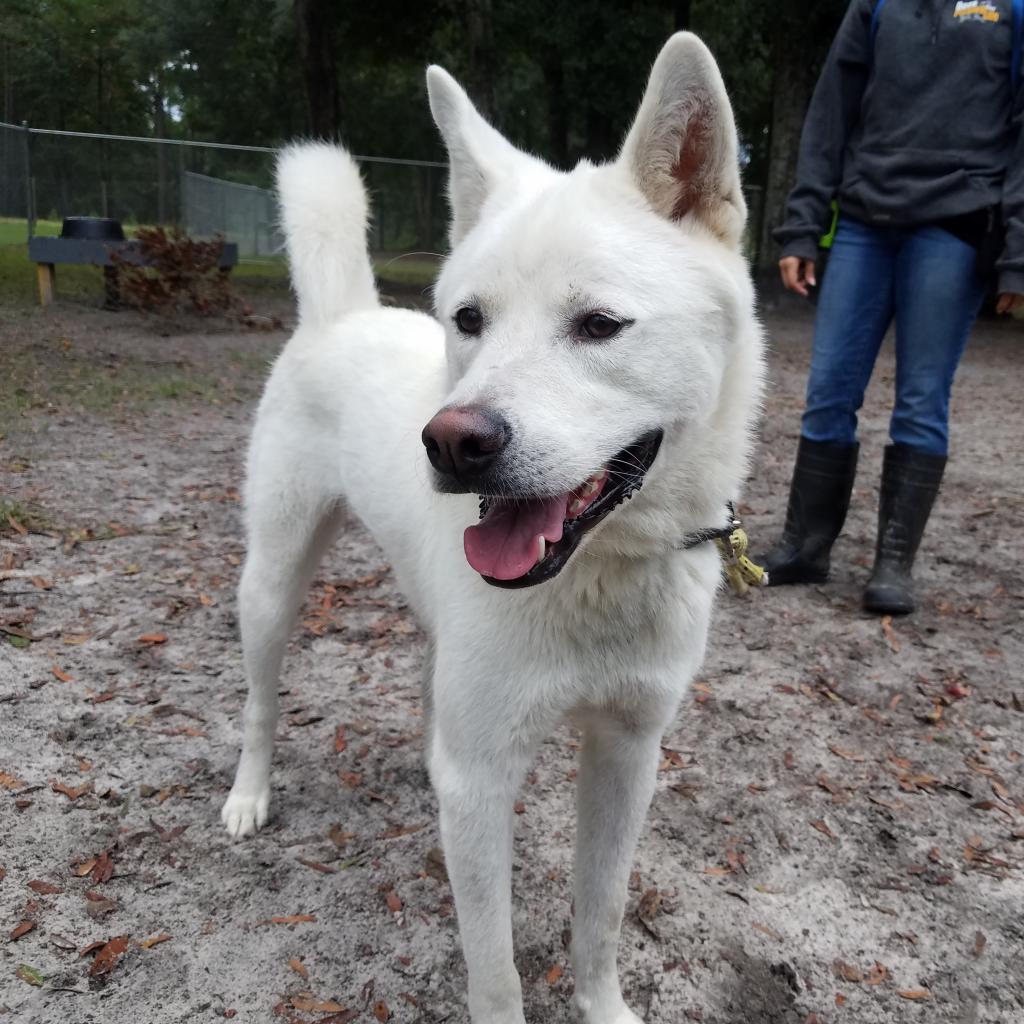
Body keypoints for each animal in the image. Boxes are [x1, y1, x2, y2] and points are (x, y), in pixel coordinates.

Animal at [228, 32, 765, 1024]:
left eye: (600, 324)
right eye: (469, 319)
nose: (451, 442)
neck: (599, 574)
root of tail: (341, 314)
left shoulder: (628, 752)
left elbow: (602, 910)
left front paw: (603, 1006)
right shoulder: (485, 786)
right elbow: (496, 967)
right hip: (273, 582)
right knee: (259, 701)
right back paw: (248, 795)